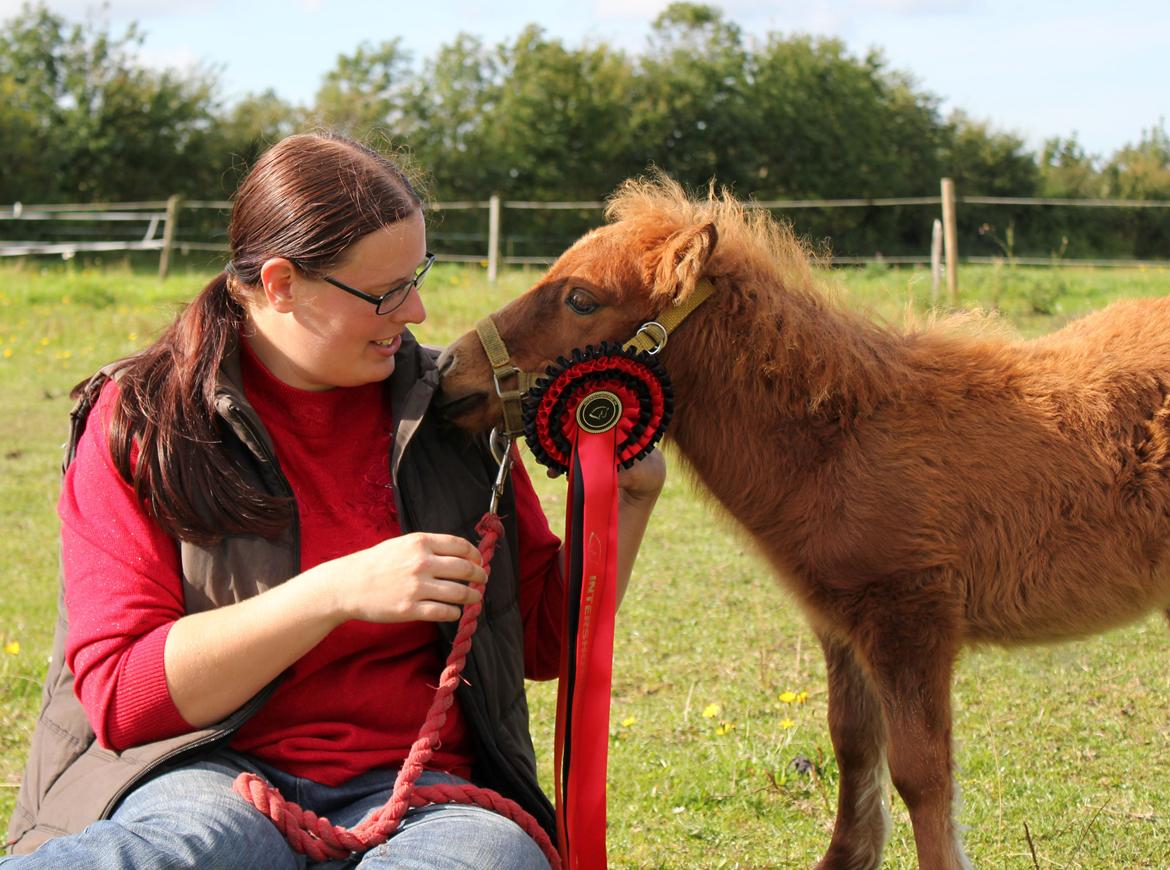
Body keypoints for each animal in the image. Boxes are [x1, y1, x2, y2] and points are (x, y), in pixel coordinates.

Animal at [434, 176, 1170, 870]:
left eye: (581, 299)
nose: (447, 369)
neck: (840, 439)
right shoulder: (840, 624)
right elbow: (853, 744)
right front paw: (847, 856)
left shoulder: (911, 617)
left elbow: (922, 774)